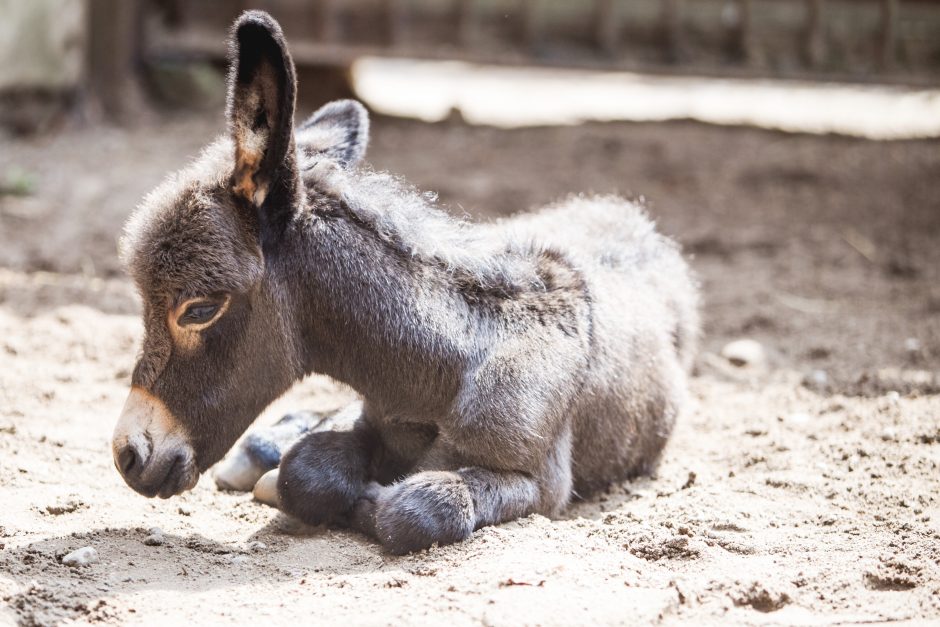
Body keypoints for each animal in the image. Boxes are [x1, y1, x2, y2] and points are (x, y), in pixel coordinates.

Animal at [110, 12, 696, 556]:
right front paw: (300, 474)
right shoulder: (367, 411)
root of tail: (628, 214)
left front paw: (368, 500)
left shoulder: (541, 485)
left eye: (198, 309)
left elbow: (418, 508)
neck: (436, 376)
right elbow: (307, 469)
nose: (127, 456)